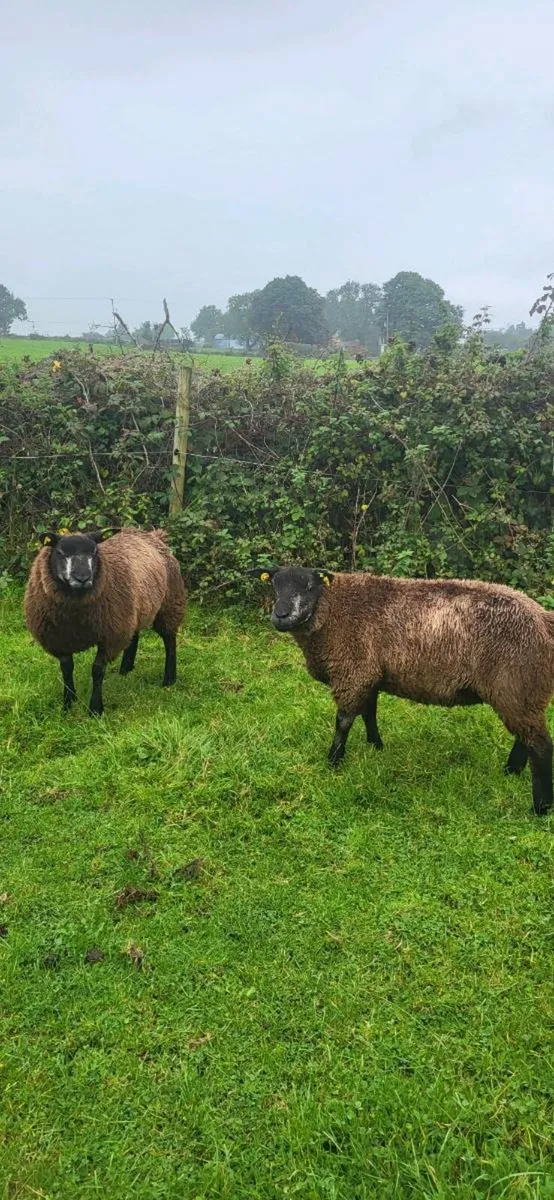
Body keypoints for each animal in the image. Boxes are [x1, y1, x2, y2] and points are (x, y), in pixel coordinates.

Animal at [25, 528, 187, 716]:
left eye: (94, 552)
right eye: (60, 552)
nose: (82, 578)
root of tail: (153, 534)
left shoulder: (110, 636)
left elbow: (97, 670)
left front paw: (95, 709)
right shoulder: (59, 638)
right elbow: (66, 669)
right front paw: (68, 704)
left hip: (169, 603)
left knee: (169, 640)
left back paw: (169, 679)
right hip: (131, 613)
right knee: (133, 637)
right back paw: (125, 670)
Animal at [254, 565, 554, 816]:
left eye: (308, 586)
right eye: (274, 586)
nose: (280, 616)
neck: (332, 609)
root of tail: (542, 618)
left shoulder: (353, 672)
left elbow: (343, 722)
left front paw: (334, 761)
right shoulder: (369, 674)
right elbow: (369, 713)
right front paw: (375, 746)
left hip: (515, 685)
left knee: (540, 747)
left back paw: (540, 808)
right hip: (525, 691)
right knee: (526, 739)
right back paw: (510, 771)